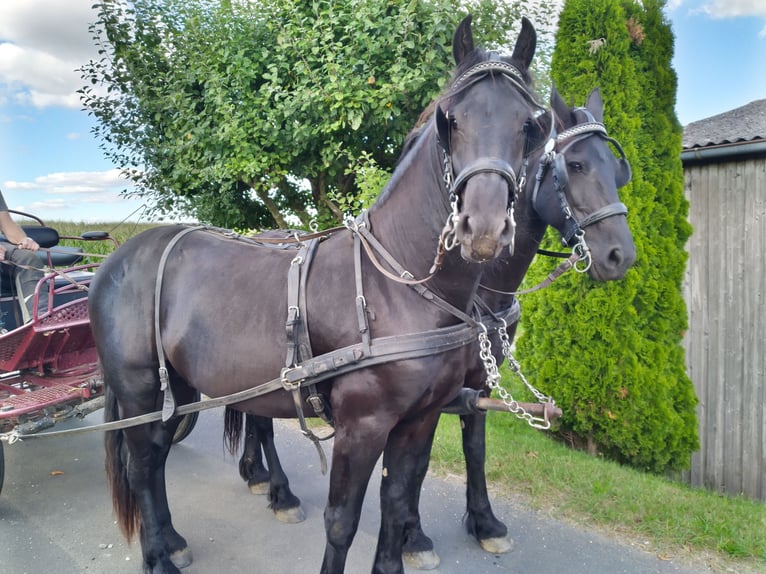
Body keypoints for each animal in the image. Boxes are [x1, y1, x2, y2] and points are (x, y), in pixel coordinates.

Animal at [90, 15, 546, 574]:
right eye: (451, 120)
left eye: (530, 126)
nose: (482, 228)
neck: (398, 289)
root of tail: (119, 257)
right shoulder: (362, 425)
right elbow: (342, 521)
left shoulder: (418, 421)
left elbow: (397, 503)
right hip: (138, 389)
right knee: (141, 466)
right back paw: (159, 555)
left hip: (175, 387)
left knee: (154, 462)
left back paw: (173, 540)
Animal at [231, 84, 637, 569]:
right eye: (575, 165)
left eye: (618, 169)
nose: (620, 254)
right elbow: (417, 468)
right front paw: (415, 537)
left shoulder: (475, 383)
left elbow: (470, 450)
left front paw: (484, 523)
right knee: (262, 421)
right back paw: (280, 491)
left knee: (254, 414)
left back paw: (256, 474)